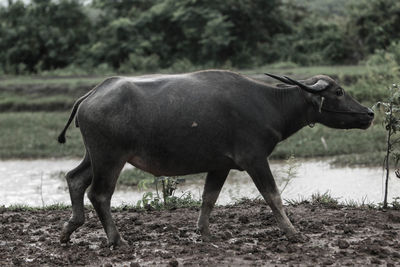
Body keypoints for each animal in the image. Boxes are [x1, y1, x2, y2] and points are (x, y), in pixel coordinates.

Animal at [57, 70, 374, 248]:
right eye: (339, 91)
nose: (369, 114)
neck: (270, 105)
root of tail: (90, 95)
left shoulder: (220, 165)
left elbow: (209, 198)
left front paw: (204, 233)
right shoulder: (255, 159)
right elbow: (273, 196)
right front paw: (294, 233)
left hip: (94, 155)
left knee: (75, 179)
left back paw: (69, 230)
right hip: (110, 157)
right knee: (99, 194)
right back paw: (117, 240)